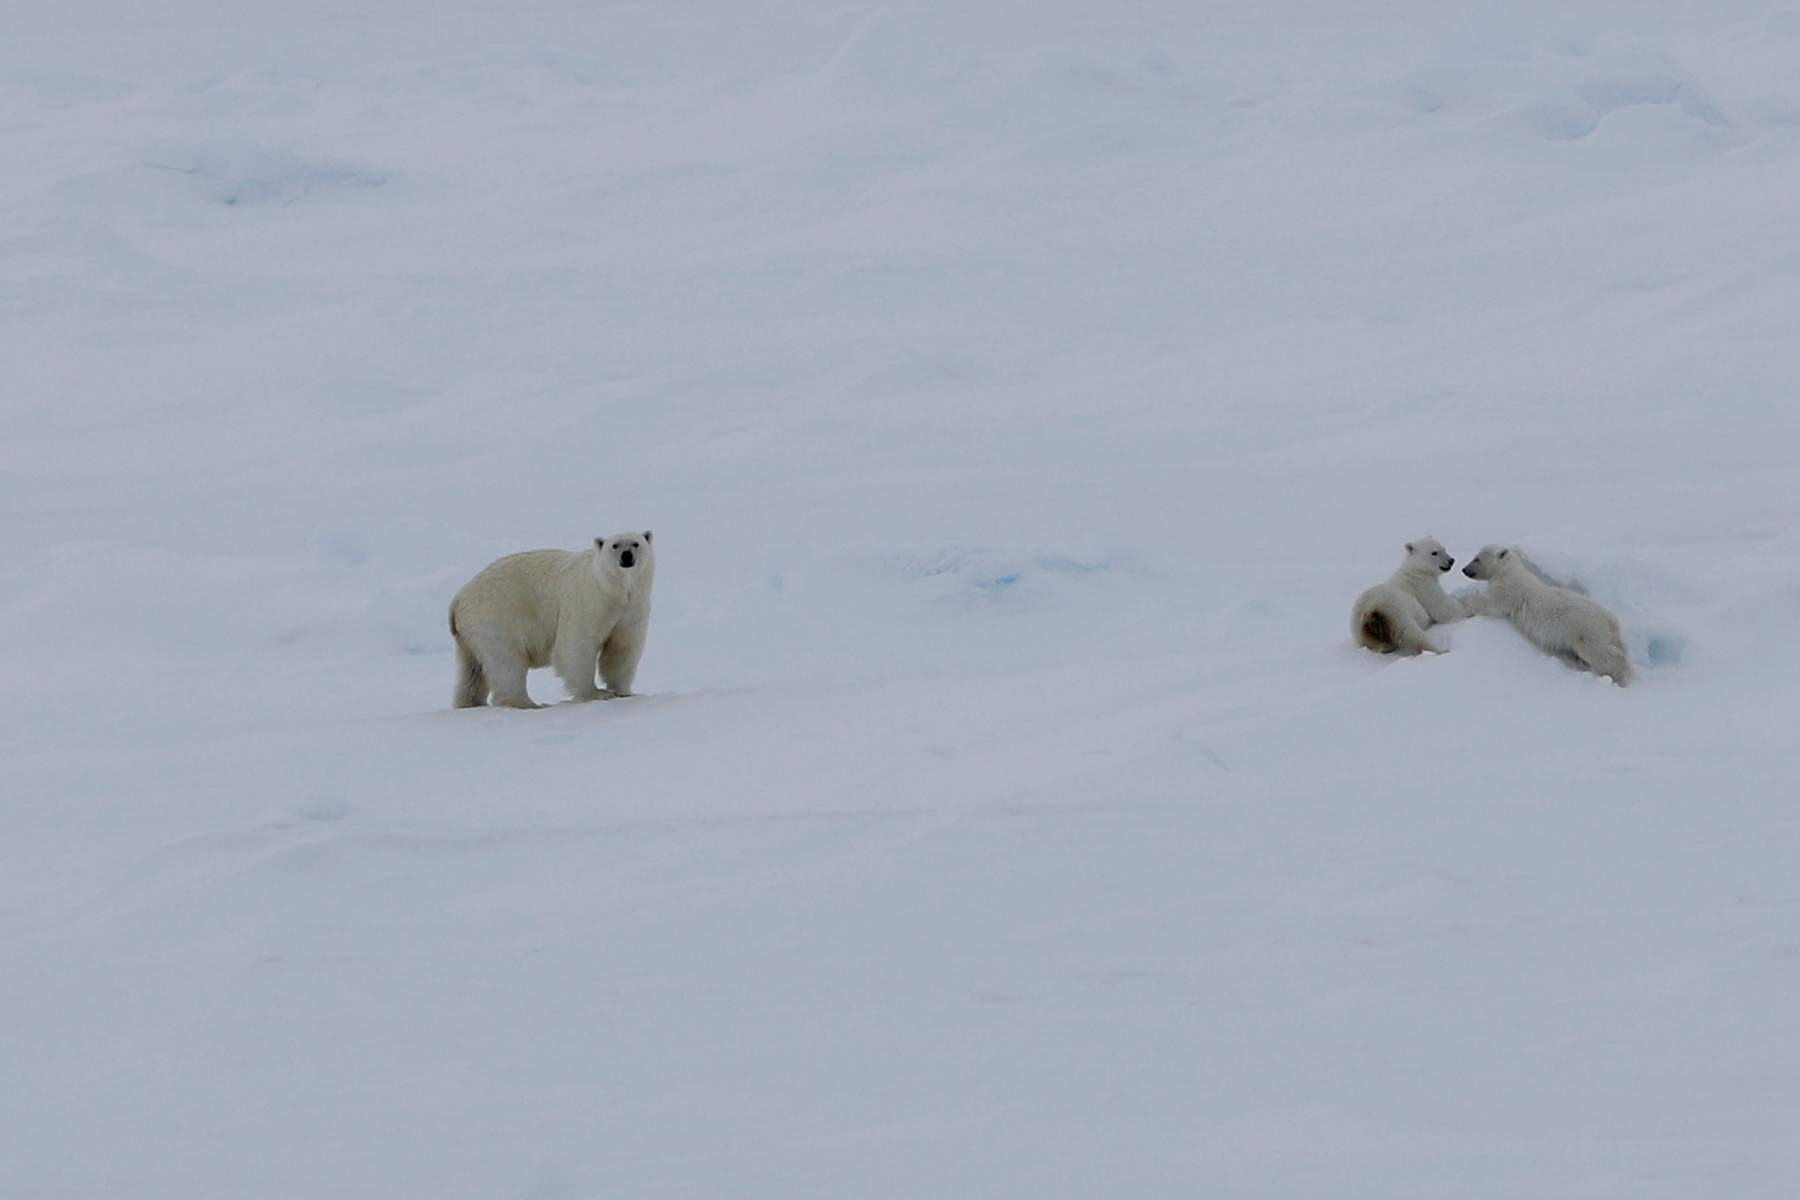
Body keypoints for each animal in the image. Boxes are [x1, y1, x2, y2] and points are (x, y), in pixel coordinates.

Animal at [450, 528, 655, 708]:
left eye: (636, 543)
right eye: (615, 545)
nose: (626, 556)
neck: (613, 591)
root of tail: (458, 598)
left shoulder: (632, 610)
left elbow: (622, 648)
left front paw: (624, 692)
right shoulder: (585, 602)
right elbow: (576, 646)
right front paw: (597, 693)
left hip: (471, 633)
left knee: (472, 672)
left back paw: (470, 702)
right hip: (496, 618)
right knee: (506, 662)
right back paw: (529, 704)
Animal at [1461, 543, 1634, 683]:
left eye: (1477, 559)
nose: (1464, 570)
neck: (1509, 572)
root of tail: (1612, 622)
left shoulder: (1510, 590)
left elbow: (1492, 604)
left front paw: (1463, 600)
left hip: (1586, 629)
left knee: (1600, 652)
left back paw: (1619, 676)